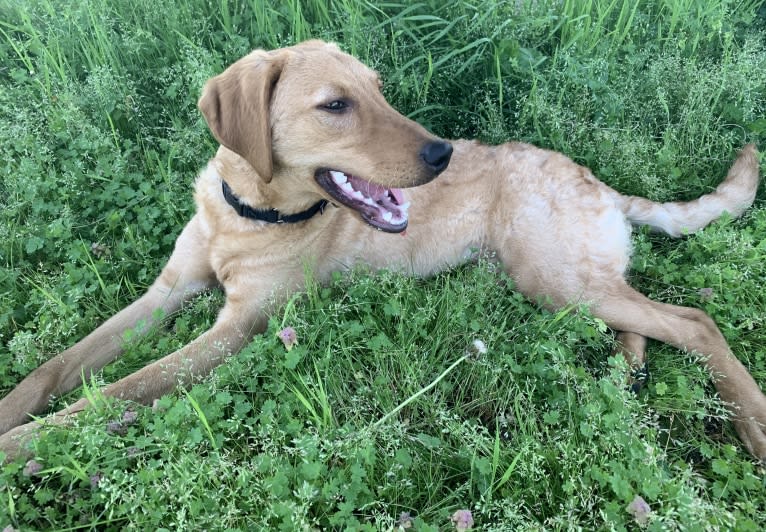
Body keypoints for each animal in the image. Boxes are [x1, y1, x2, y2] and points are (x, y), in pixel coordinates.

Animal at [1, 39, 766, 462]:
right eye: (336, 105)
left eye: (379, 91)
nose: (442, 153)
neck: (246, 213)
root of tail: (598, 180)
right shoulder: (166, 293)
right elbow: (57, 368)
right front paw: (15, 412)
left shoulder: (236, 329)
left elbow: (117, 391)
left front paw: (22, 446)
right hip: (564, 285)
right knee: (638, 320)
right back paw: (625, 373)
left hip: (551, 277)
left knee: (693, 322)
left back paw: (751, 420)